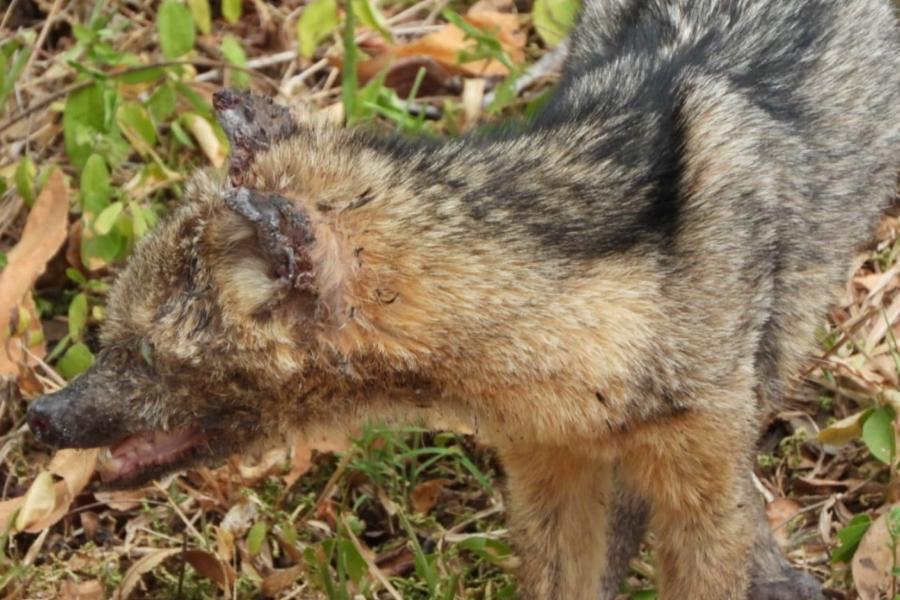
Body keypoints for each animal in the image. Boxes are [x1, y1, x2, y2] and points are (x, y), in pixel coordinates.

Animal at [25, 0, 900, 598]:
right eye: (110, 339)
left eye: (143, 352)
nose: (38, 416)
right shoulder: (550, 468)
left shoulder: (698, 473)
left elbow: (715, 545)